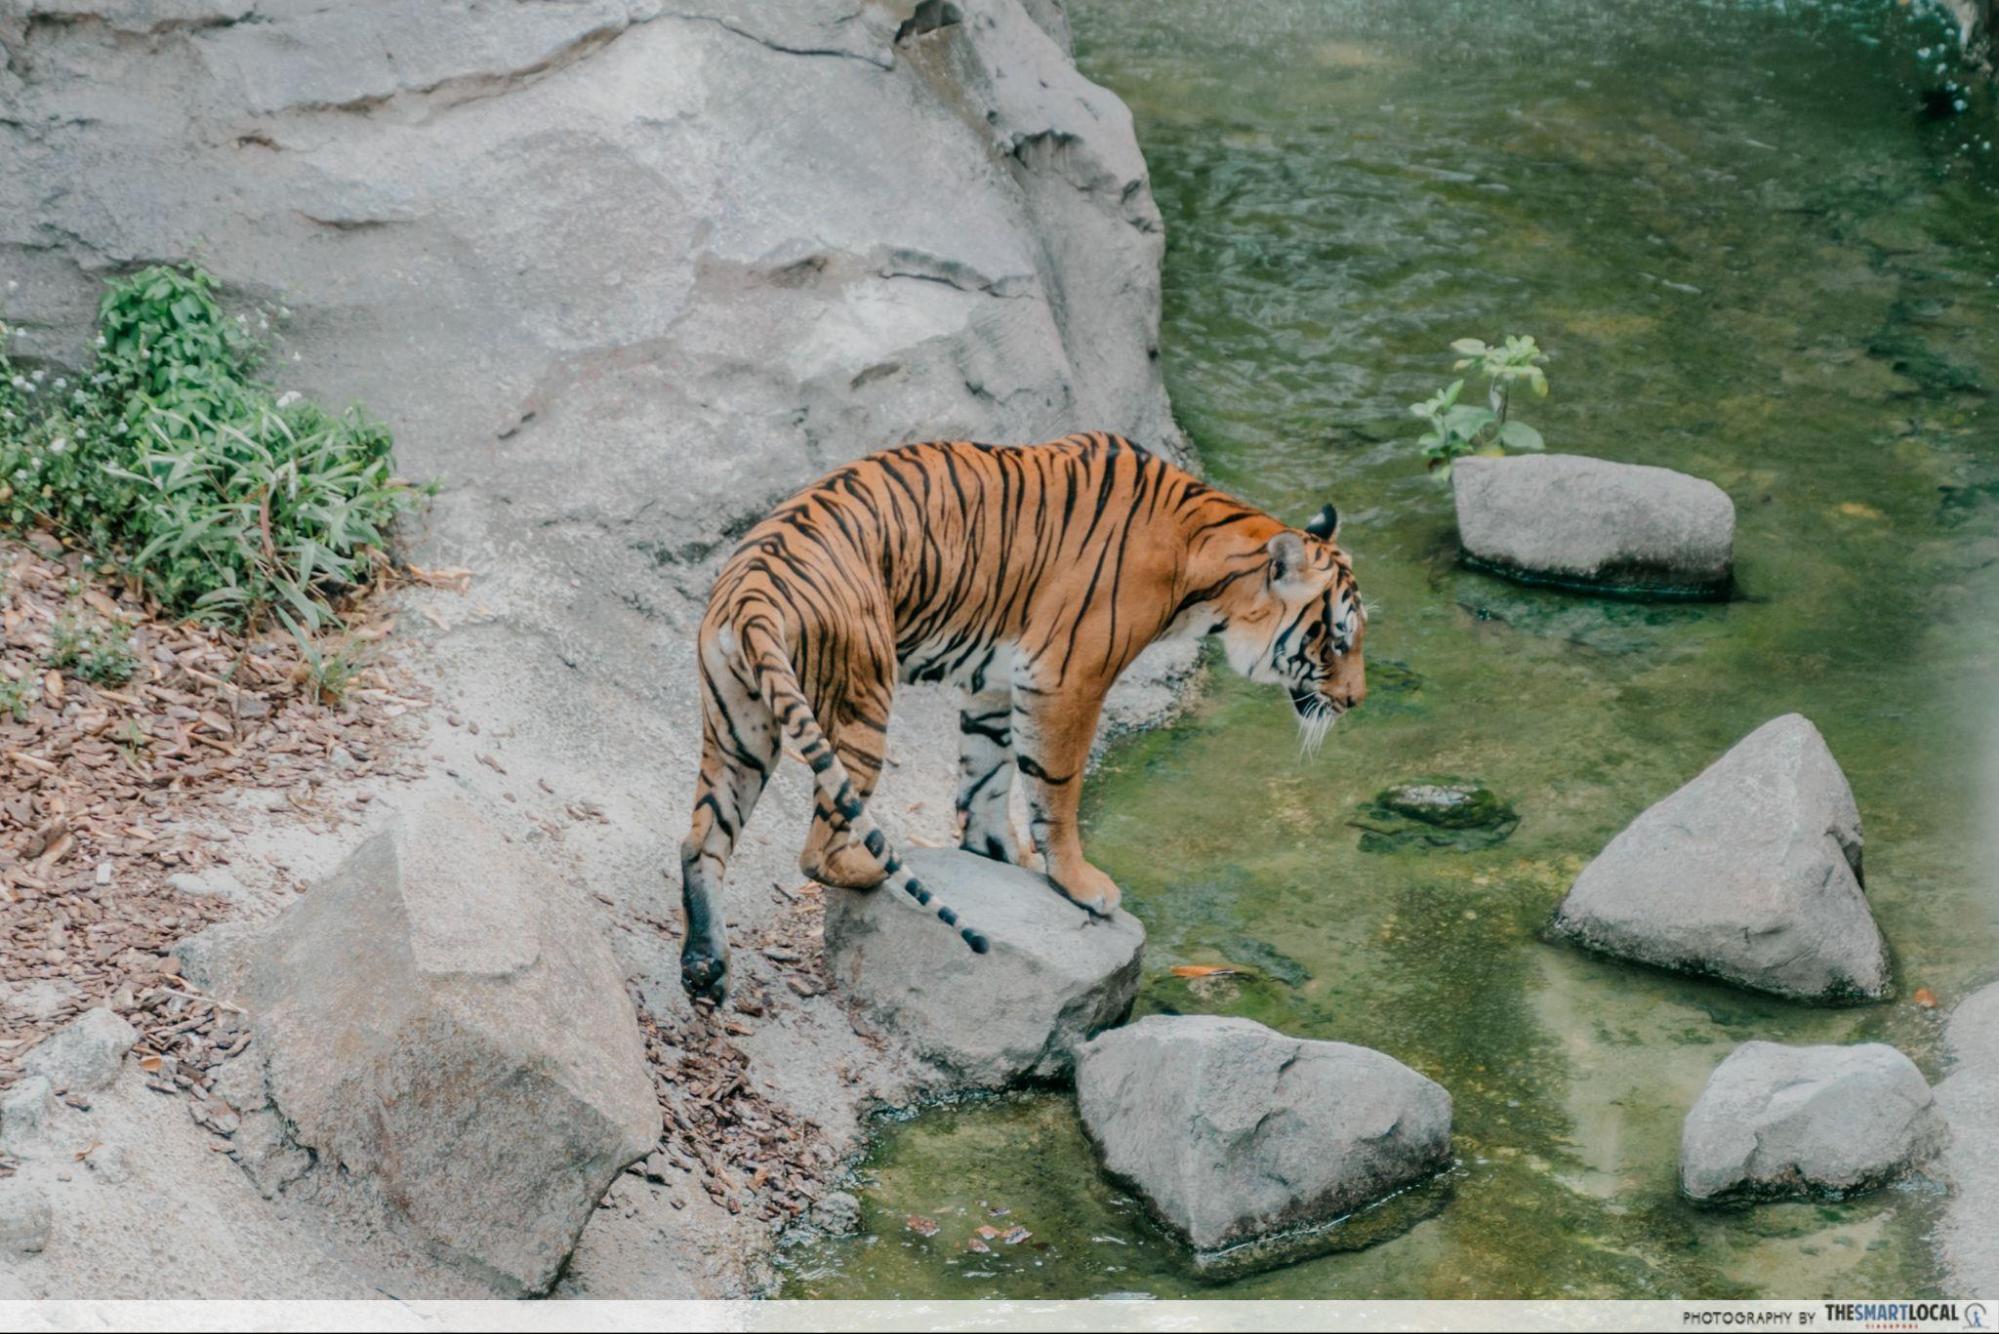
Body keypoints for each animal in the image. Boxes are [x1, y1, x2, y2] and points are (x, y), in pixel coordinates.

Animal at [676, 431, 1366, 1003]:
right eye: (1336, 640)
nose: (1357, 700)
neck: (1209, 571)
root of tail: (751, 590)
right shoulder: (1067, 678)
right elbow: (1055, 790)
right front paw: (1080, 884)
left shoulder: (997, 678)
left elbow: (987, 773)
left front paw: (998, 854)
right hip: (862, 698)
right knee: (820, 846)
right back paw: (870, 869)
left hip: (739, 725)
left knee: (701, 840)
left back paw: (706, 967)